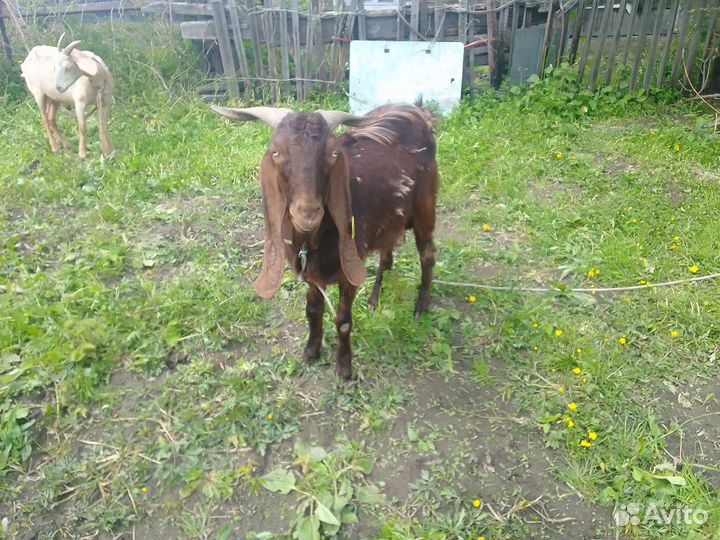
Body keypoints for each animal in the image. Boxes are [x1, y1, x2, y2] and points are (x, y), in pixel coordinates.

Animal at [212, 104, 438, 379]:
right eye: (276, 151)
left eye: (333, 153)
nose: (308, 213)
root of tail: (418, 111)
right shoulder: (311, 270)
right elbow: (312, 312)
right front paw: (311, 352)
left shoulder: (349, 269)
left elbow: (343, 321)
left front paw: (344, 367)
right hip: (391, 220)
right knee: (387, 254)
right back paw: (374, 299)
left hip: (425, 208)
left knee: (427, 256)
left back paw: (421, 307)